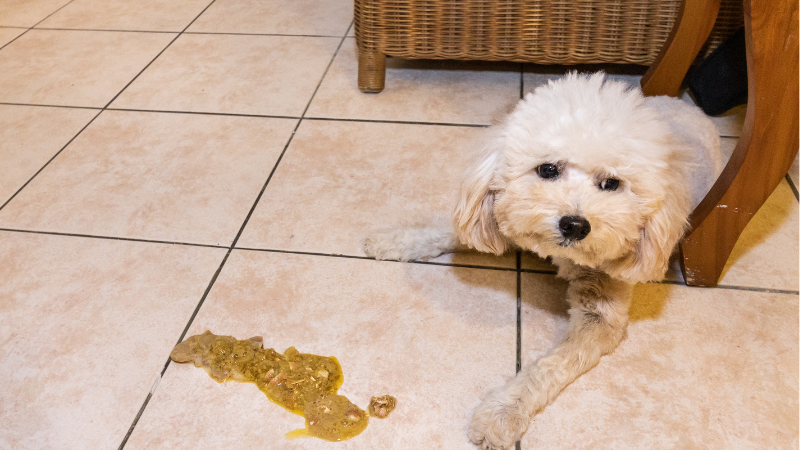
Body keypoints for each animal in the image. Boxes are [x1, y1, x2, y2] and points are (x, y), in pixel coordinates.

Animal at [364, 72, 724, 448]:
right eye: (548, 169)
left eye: (611, 183)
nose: (575, 225)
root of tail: (690, 108)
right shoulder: (503, 219)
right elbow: (453, 231)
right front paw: (397, 240)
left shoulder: (601, 316)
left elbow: (551, 367)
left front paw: (503, 412)